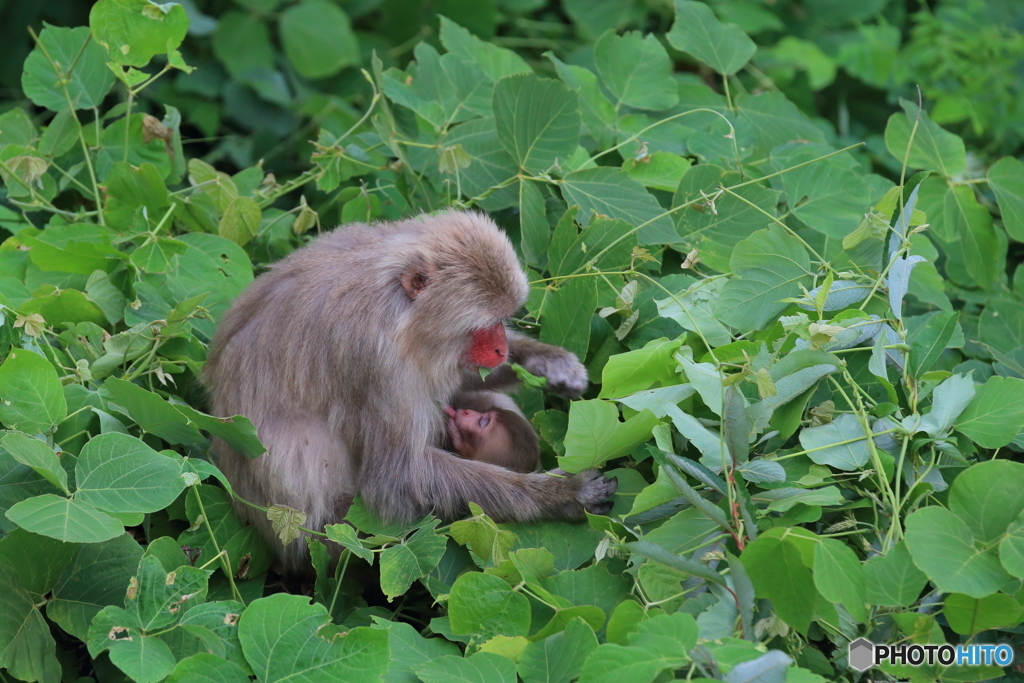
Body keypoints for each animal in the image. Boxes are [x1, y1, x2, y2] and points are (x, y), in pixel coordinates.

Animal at [203, 210, 610, 569]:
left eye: (501, 322)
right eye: (482, 326)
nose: (500, 349)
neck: (399, 310)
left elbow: (457, 378)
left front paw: (550, 363)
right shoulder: (376, 358)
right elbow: (396, 479)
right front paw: (563, 495)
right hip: (334, 534)